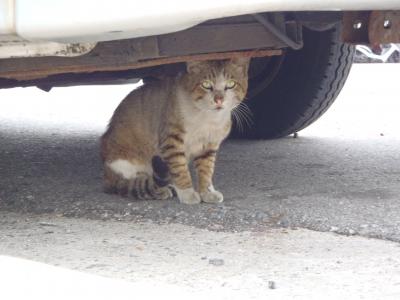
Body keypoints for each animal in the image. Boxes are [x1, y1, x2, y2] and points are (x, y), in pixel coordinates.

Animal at [100, 57, 250, 204]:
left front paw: (207, 192)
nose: (219, 99)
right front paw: (188, 193)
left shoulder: (209, 146)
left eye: (231, 84)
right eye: (206, 84)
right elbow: (180, 168)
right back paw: (161, 190)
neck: (208, 120)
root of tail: (107, 178)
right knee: (138, 184)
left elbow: (206, 170)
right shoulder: (172, 140)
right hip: (125, 162)